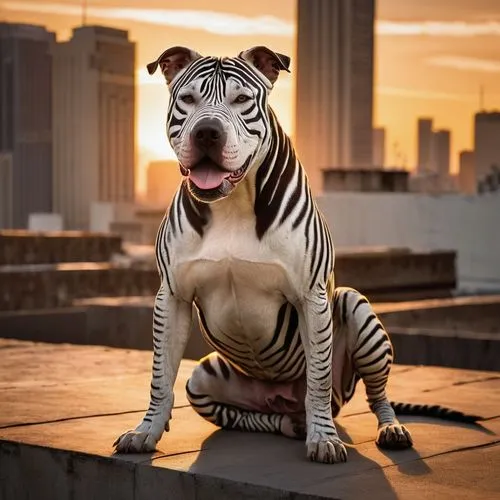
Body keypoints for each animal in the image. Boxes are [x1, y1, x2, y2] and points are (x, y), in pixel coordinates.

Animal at [115, 47, 482, 464]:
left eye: (242, 99)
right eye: (188, 99)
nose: (207, 131)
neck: (232, 204)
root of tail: (281, 400)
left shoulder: (311, 297)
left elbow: (318, 379)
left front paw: (323, 439)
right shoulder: (173, 298)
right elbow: (160, 377)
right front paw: (146, 432)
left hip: (356, 313)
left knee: (373, 395)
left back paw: (384, 428)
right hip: (205, 379)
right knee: (251, 418)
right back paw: (291, 424)